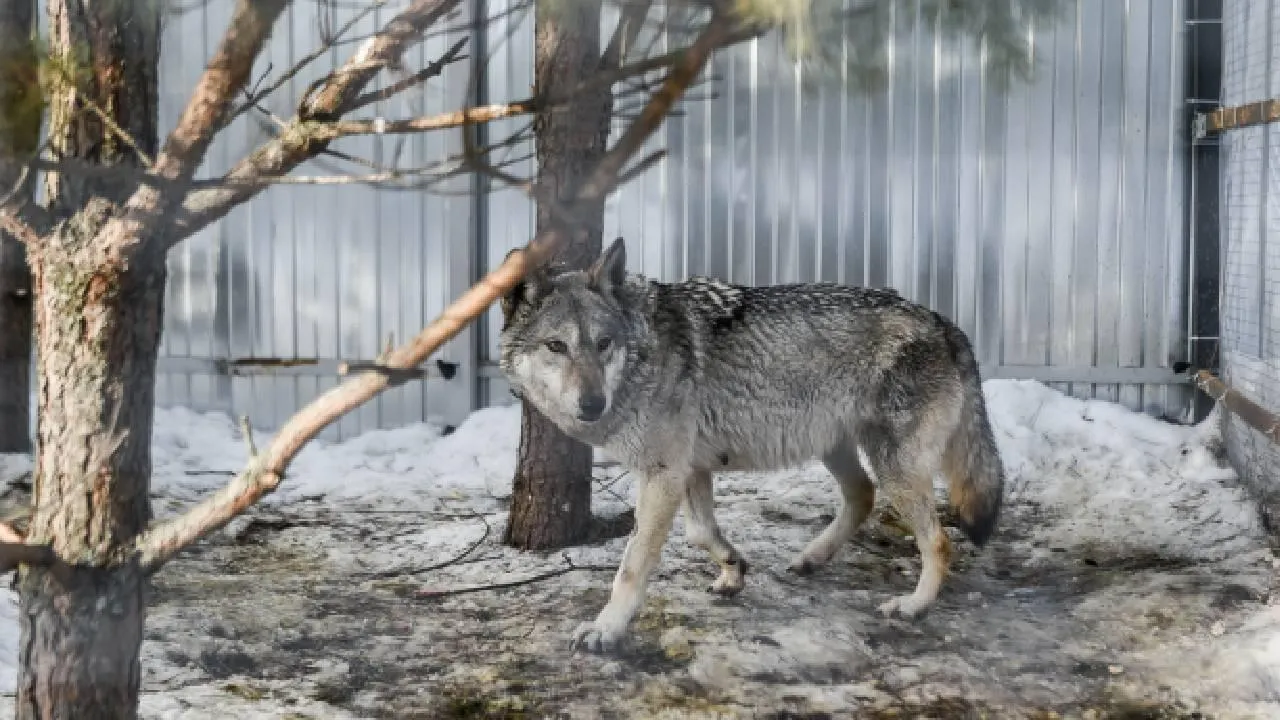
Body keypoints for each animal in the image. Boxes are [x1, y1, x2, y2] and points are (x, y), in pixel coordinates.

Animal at [494, 238, 1003, 653]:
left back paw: (913, 606)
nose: (592, 404)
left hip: (892, 465)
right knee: (862, 496)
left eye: (603, 344)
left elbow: (633, 565)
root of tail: (944, 322)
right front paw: (733, 570)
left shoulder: (662, 474)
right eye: (556, 346)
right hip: (836, 448)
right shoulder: (689, 469)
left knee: (938, 541)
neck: (645, 352)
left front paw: (606, 629)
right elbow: (701, 532)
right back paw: (812, 557)